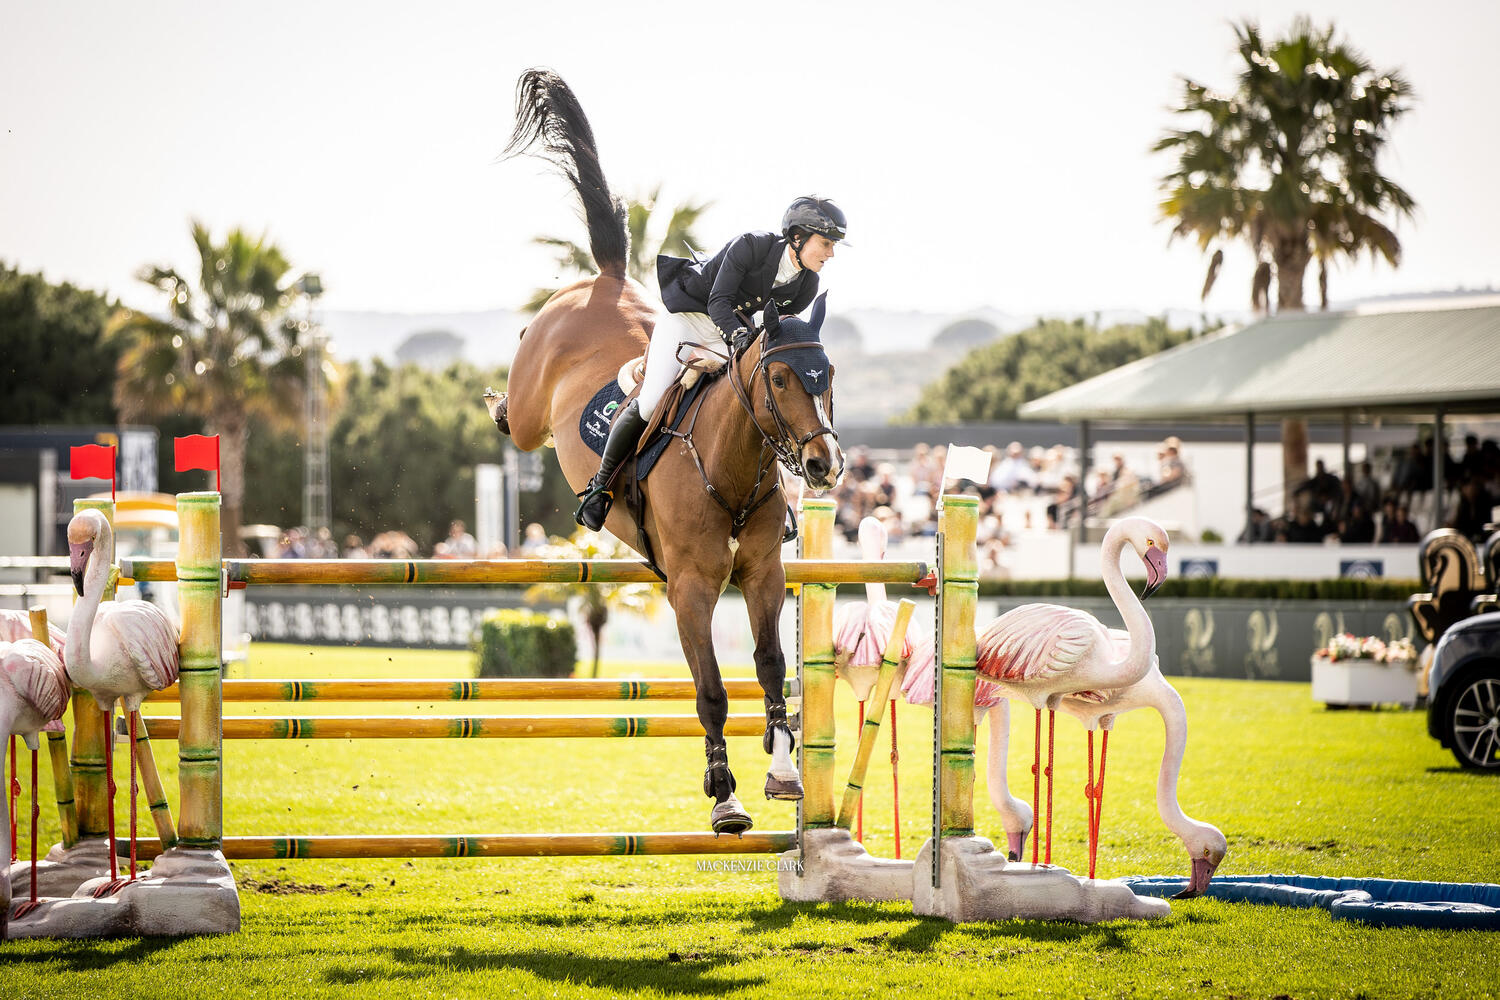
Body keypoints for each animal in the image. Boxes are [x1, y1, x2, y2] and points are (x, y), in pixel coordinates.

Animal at [486, 70, 845, 834]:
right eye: (779, 379)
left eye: (827, 374)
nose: (825, 466)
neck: (731, 471)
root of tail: (609, 279)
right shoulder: (690, 588)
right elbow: (711, 691)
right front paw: (725, 797)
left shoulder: (765, 575)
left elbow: (772, 668)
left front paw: (783, 771)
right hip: (534, 407)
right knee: (519, 413)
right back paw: (502, 397)